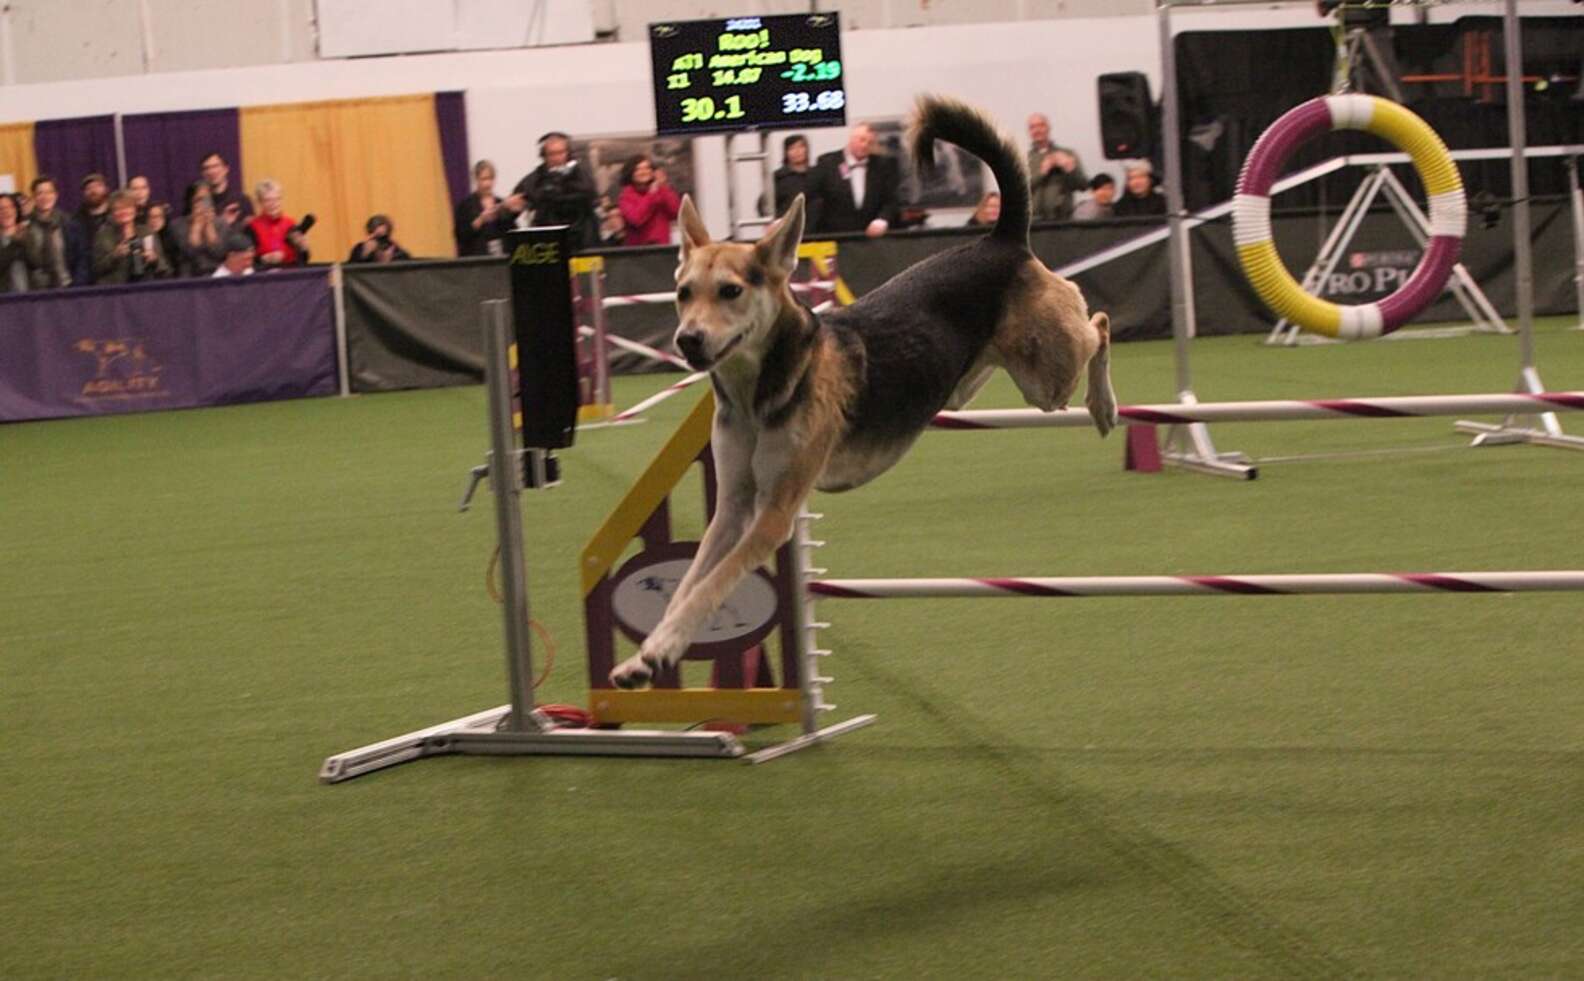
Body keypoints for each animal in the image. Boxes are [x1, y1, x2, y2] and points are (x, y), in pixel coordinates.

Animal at [605, 95, 1115, 687]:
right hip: (996, 379)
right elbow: (689, 583)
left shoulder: (773, 514)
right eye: (683, 293)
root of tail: (1001, 240)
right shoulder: (732, 508)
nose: (687, 340)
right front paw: (646, 655)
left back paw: (1105, 405)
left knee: (1098, 323)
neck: (761, 389)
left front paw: (663, 648)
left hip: (1048, 373)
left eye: (730, 292)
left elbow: (711, 587)